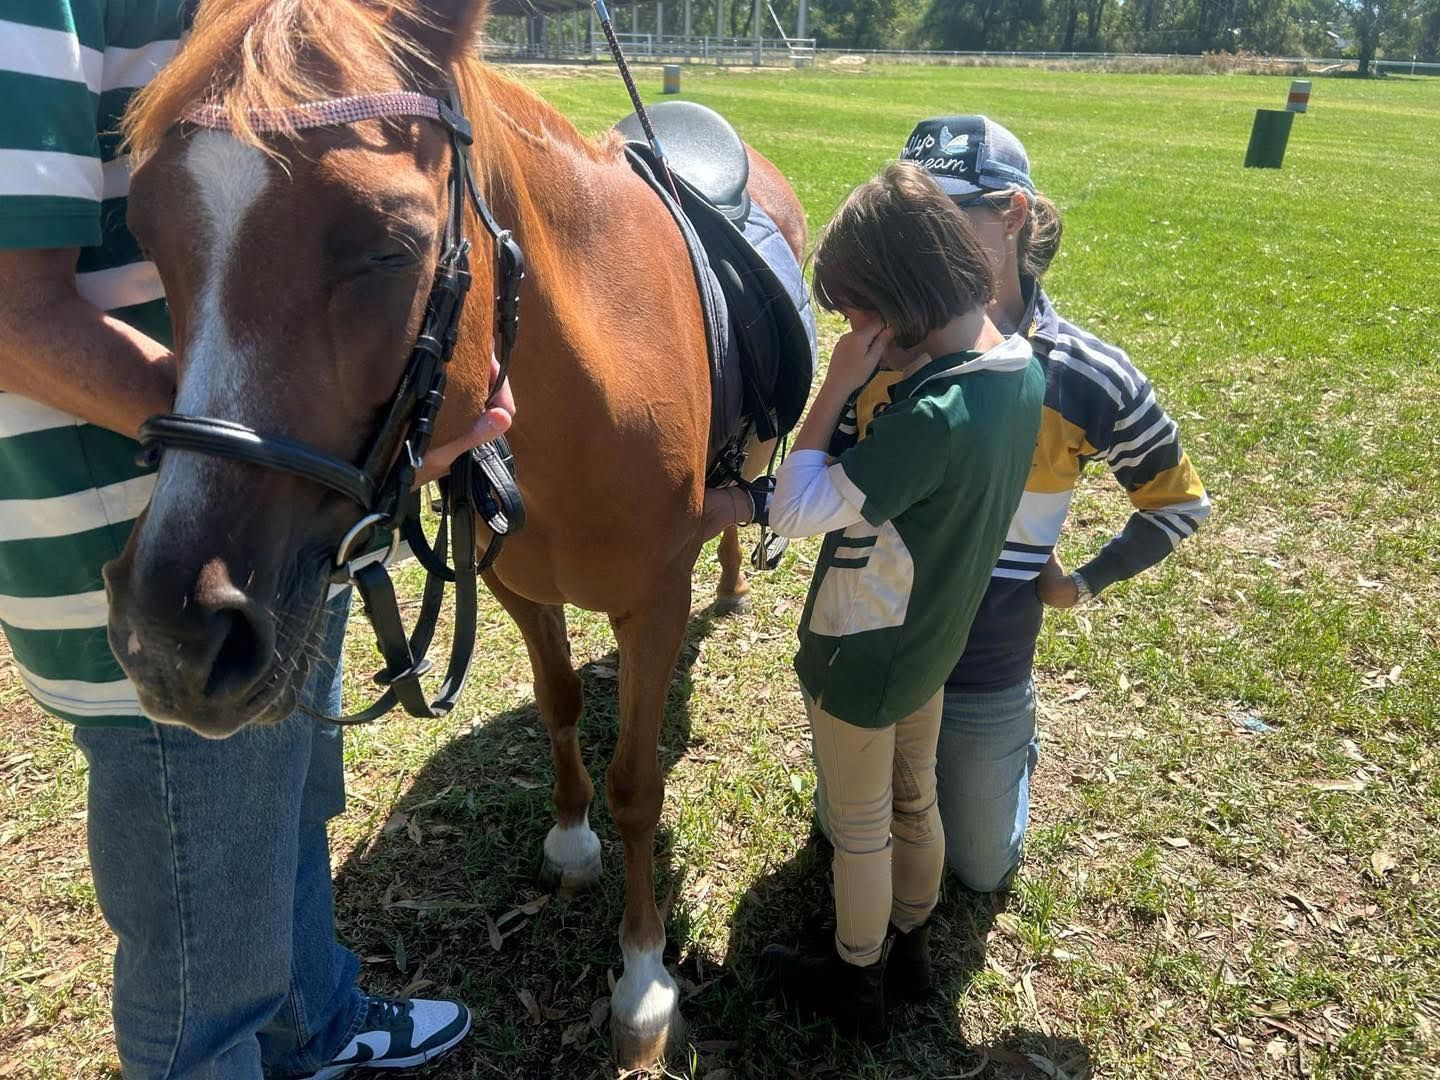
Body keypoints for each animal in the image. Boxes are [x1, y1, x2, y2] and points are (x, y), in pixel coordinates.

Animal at [103, 0, 807, 1068]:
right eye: (146, 230)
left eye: (394, 246)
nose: (171, 641)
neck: (592, 383)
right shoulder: (518, 588)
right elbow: (559, 704)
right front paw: (571, 841)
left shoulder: (652, 606)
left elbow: (638, 784)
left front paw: (644, 983)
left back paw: (730, 583)